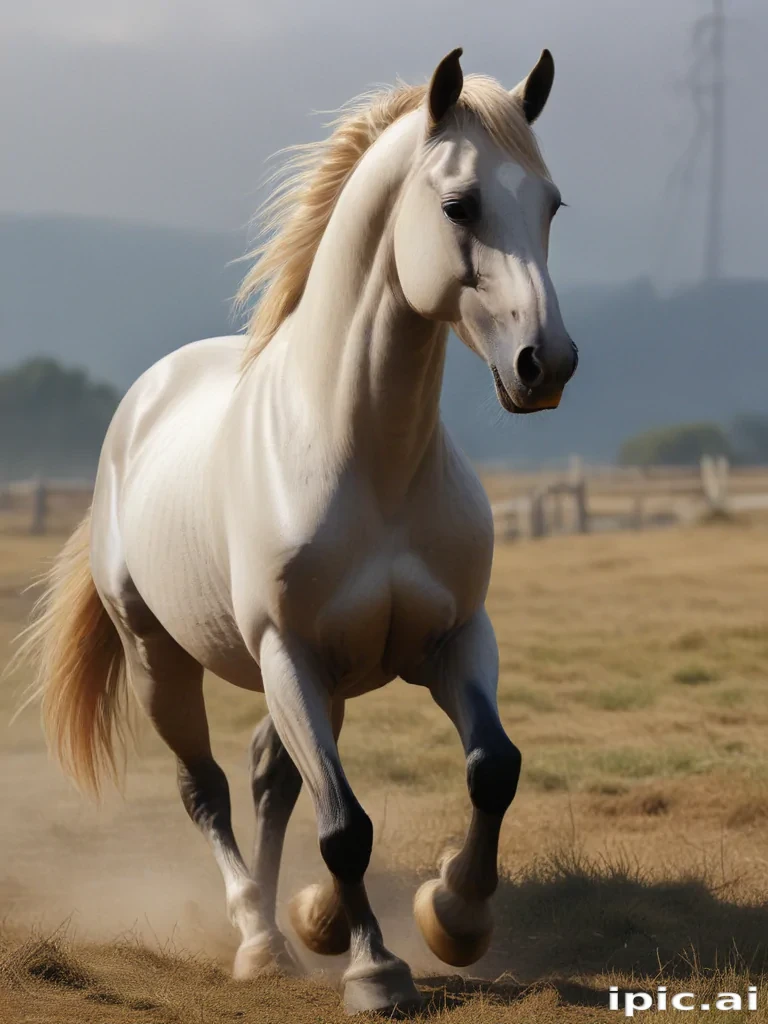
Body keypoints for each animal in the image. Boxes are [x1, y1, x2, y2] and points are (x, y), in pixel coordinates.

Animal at [17, 47, 577, 1014]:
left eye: (550, 204)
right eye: (459, 205)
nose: (547, 365)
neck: (364, 455)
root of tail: (142, 405)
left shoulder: (454, 639)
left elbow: (491, 769)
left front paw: (452, 917)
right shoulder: (290, 653)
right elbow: (344, 825)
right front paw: (376, 971)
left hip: (328, 677)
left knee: (272, 779)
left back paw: (300, 921)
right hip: (165, 659)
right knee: (207, 788)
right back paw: (258, 938)